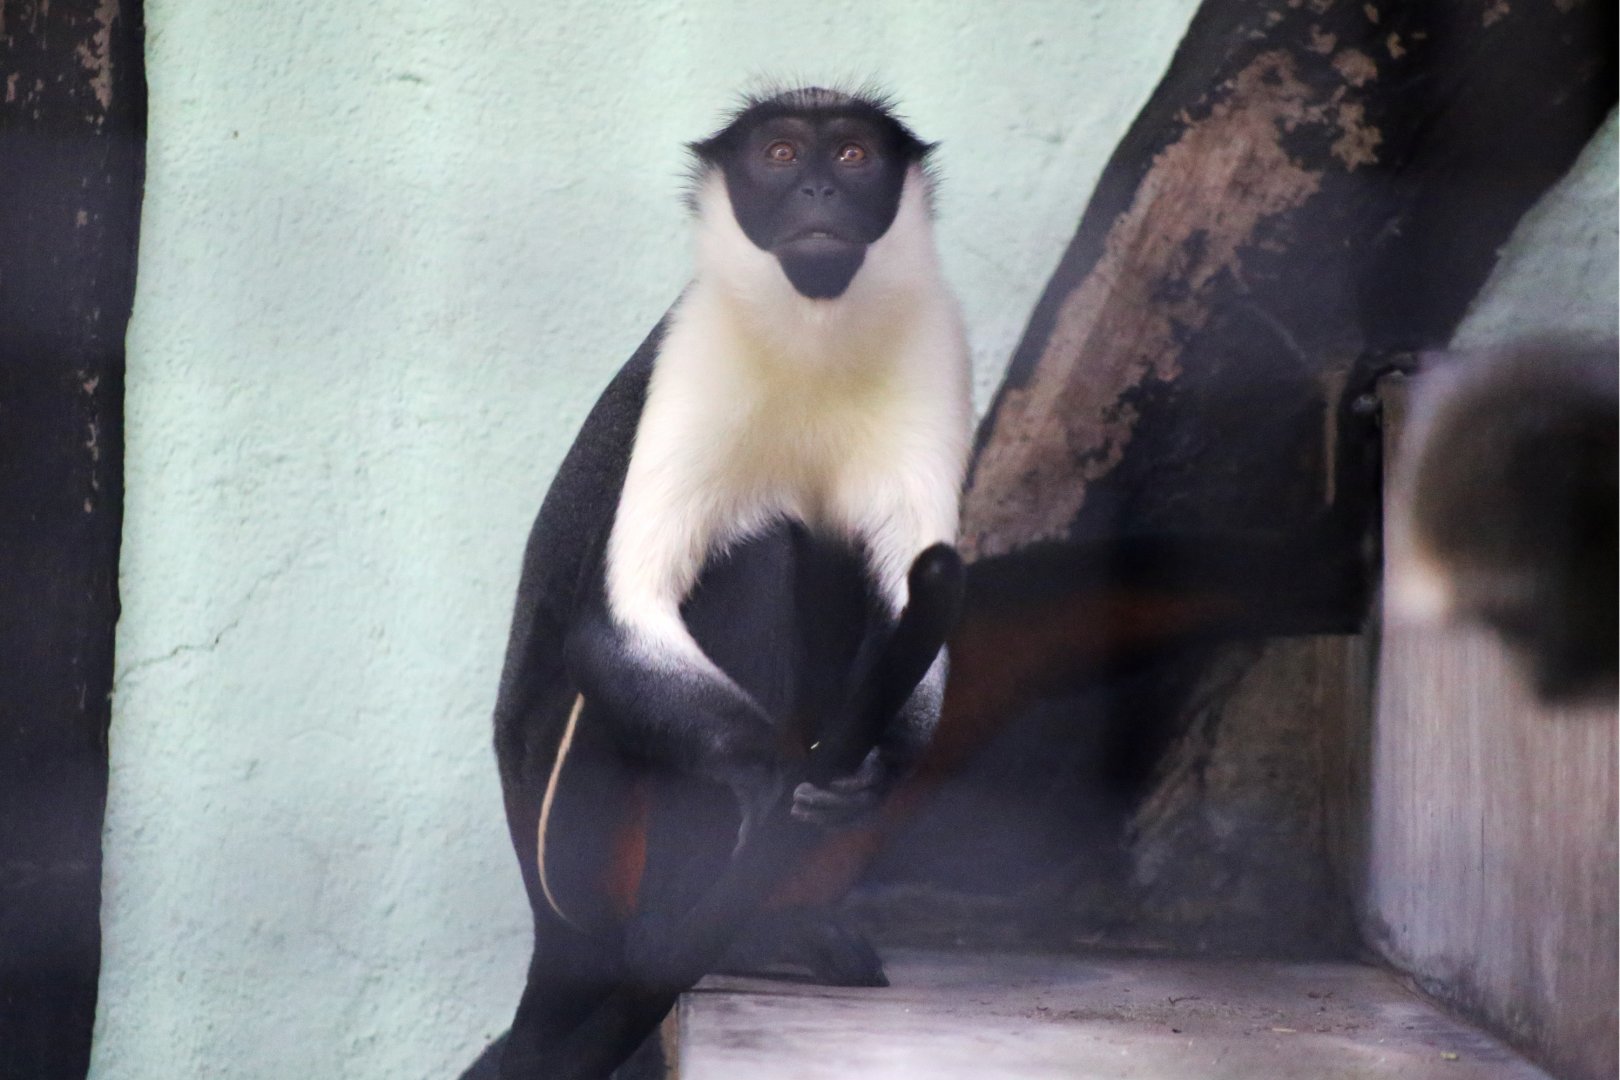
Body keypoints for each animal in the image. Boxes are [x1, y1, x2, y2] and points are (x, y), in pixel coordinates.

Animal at [479, 87, 970, 1079]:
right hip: (589, 846)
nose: (819, 187)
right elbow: (616, 625)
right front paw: (765, 775)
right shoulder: (694, 359)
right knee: (754, 549)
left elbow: (917, 598)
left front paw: (871, 768)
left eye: (853, 154)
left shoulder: (933, 343)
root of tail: (552, 933)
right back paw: (684, 935)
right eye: (779, 153)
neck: (814, 330)